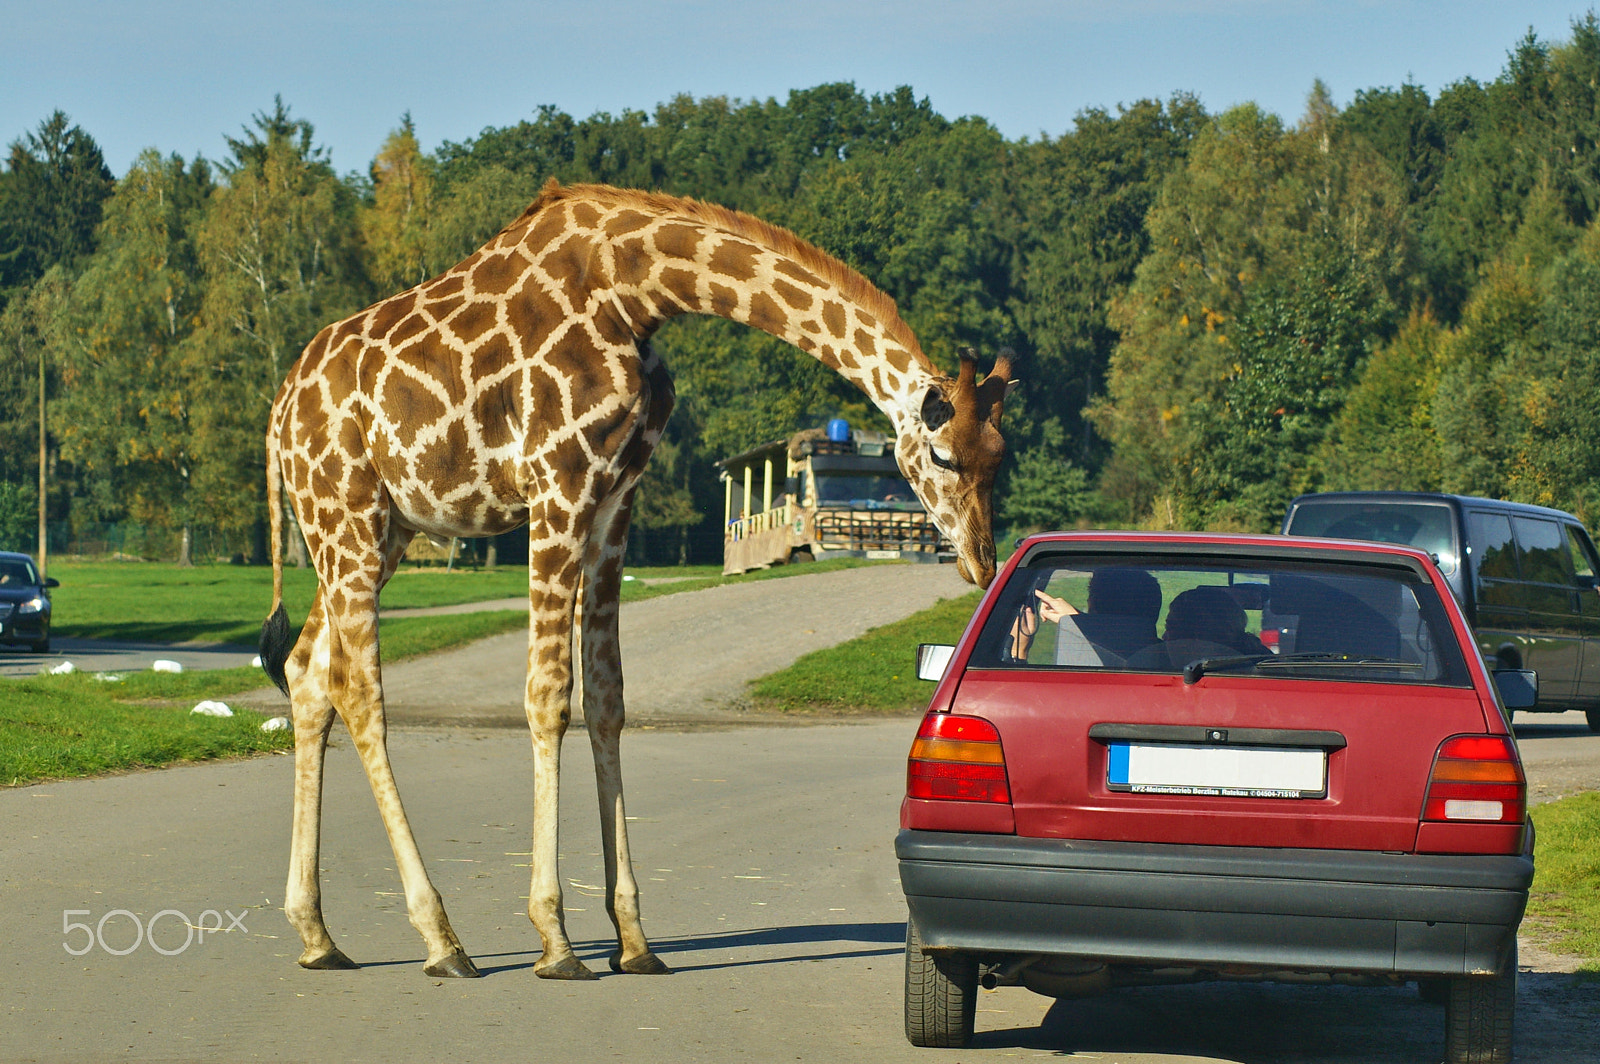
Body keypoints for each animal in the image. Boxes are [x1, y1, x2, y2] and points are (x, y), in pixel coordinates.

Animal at [260, 180, 1011, 979]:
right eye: (943, 456)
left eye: (1000, 457)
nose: (980, 561)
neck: (636, 289)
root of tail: (278, 416)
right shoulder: (557, 484)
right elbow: (548, 695)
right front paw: (555, 938)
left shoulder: (615, 495)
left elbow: (609, 699)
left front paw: (633, 937)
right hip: (348, 511)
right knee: (358, 688)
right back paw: (441, 938)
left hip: (380, 526)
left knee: (306, 670)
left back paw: (317, 933)